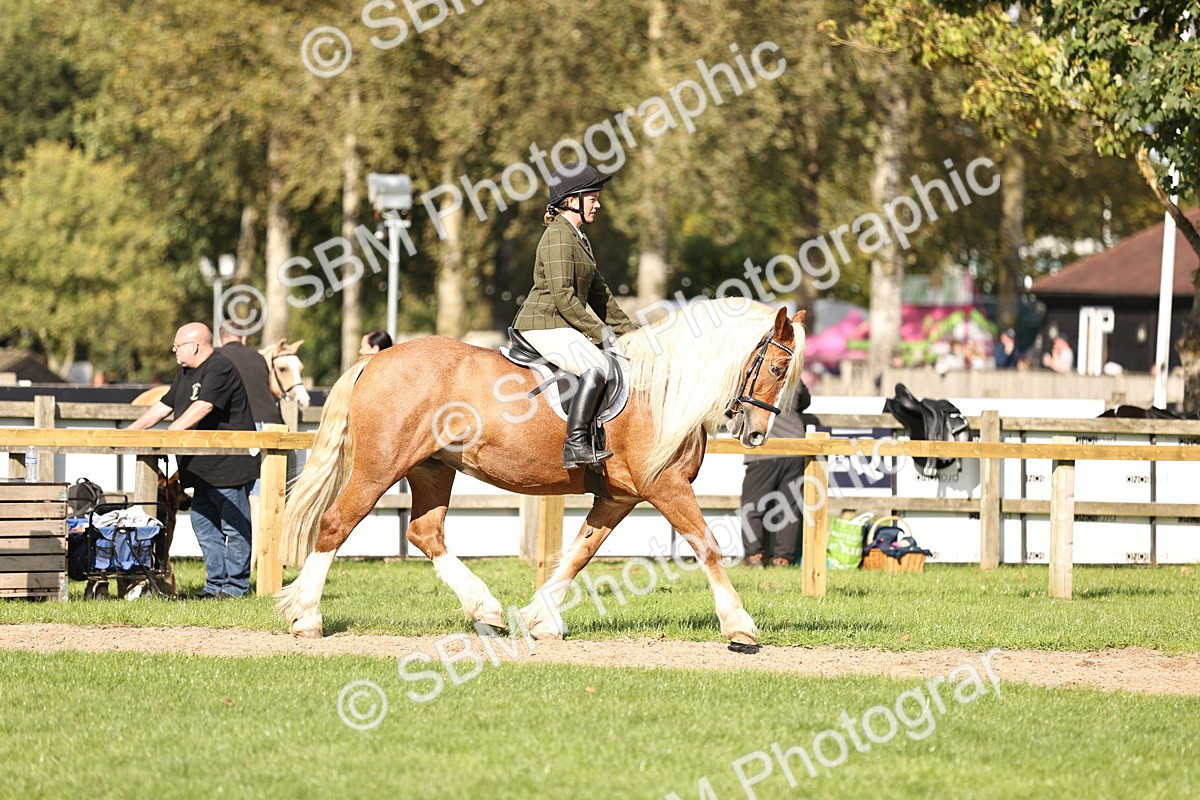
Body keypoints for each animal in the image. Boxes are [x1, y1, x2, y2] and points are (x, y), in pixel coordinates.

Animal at [275, 298, 806, 645]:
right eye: (779, 368)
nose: (756, 434)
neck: (663, 390)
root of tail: (376, 360)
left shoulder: (619, 497)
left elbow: (578, 555)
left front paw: (540, 620)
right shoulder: (666, 487)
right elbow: (708, 547)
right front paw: (739, 627)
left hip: (432, 469)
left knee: (427, 533)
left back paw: (486, 610)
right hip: (378, 469)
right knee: (335, 525)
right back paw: (306, 618)